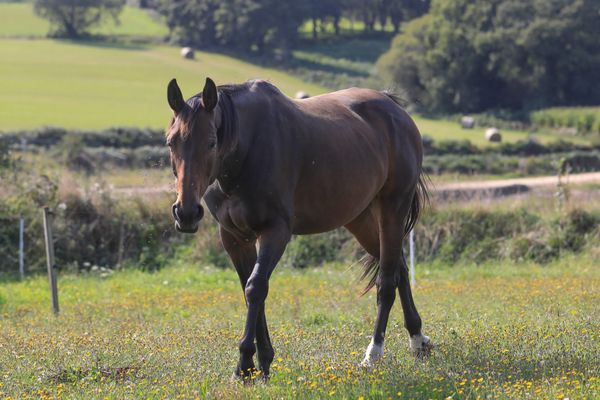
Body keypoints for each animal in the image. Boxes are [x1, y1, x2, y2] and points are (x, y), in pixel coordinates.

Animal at [166, 77, 432, 378]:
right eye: (171, 142)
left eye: (211, 143)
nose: (186, 212)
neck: (245, 153)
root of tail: (394, 108)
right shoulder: (234, 237)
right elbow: (248, 289)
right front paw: (262, 363)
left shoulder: (276, 231)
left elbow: (256, 287)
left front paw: (245, 364)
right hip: (360, 218)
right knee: (399, 268)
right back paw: (418, 341)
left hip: (393, 209)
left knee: (386, 281)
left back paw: (373, 354)